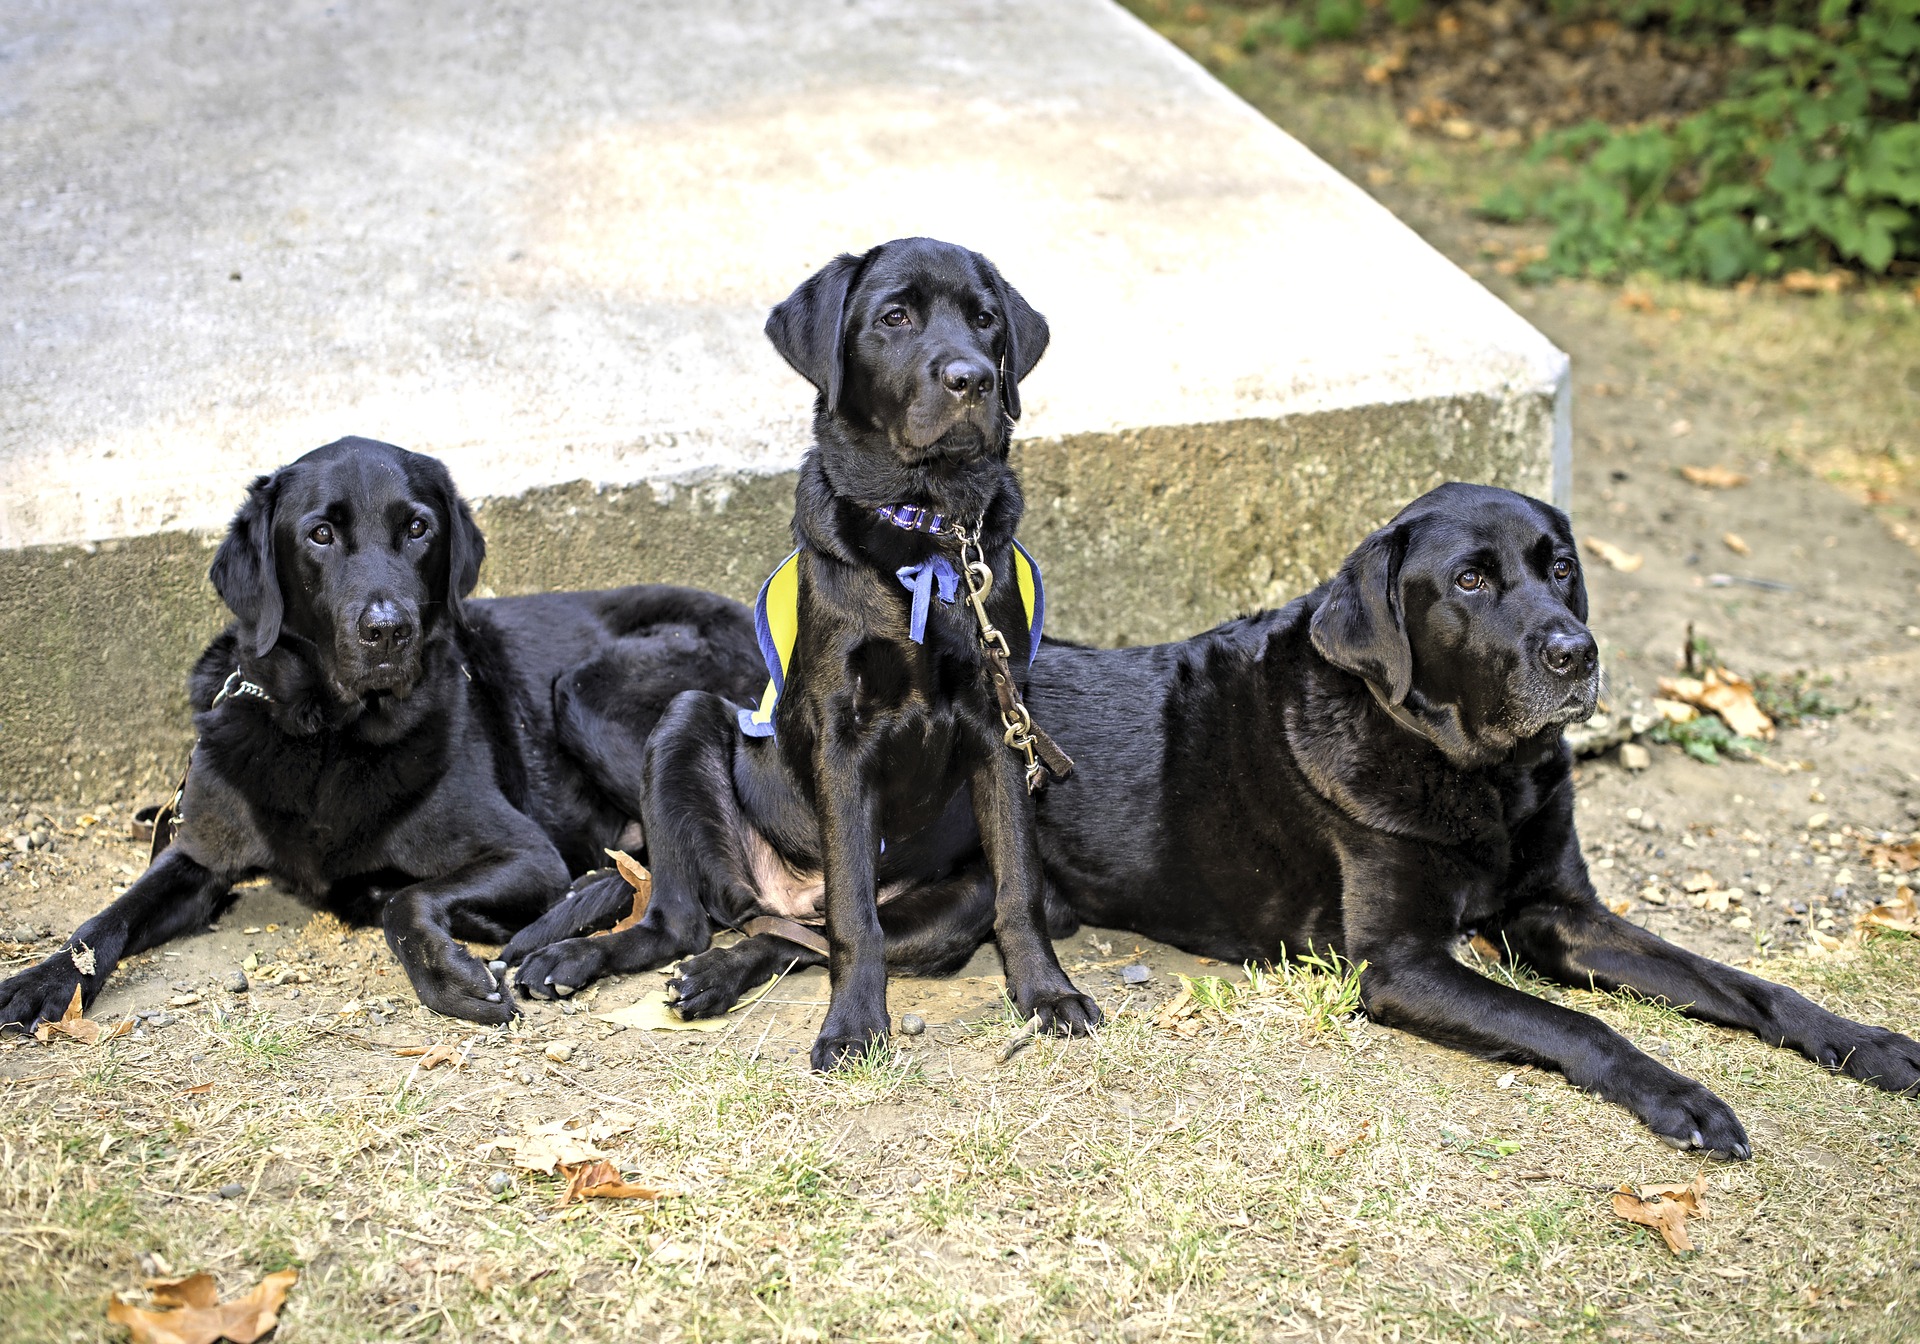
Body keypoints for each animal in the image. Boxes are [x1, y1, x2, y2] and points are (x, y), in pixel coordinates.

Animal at [0, 441, 764, 1029]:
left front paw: (448, 975)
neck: (326, 736)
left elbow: (405, 899)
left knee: (688, 906)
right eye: (320, 534)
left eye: (419, 528)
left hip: (589, 692)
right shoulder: (197, 857)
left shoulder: (526, 853)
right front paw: (39, 981)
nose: (388, 630)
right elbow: (103, 922)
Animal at [510, 236, 1105, 1067]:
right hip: (684, 722)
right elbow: (855, 910)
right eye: (894, 317)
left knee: (793, 937)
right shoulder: (840, 734)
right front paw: (854, 1027)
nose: (972, 379)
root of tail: (785, 890)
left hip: (952, 901)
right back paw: (580, 958)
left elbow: (1018, 888)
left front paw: (1047, 994)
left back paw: (716, 975)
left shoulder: (999, 729)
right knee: (690, 923)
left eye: (986, 320)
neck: (925, 530)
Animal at [1021, 483, 1904, 1152]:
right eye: (1470, 582)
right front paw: (1682, 1096)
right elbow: (1576, 1024)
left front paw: (1869, 1042)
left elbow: (1741, 983)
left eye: (1561, 569)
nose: (1578, 653)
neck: (1485, 777)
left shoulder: (1562, 913)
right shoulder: (1400, 964)